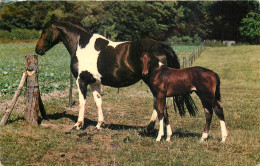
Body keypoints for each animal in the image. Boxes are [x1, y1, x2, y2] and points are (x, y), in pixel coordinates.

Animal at [35, 14, 197, 134]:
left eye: (44, 31)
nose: (37, 49)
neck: (81, 45)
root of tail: (161, 46)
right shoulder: (94, 82)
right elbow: (98, 102)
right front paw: (99, 125)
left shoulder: (81, 80)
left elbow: (82, 102)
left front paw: (78, 125)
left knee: (158, 104)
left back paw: (148, 129)